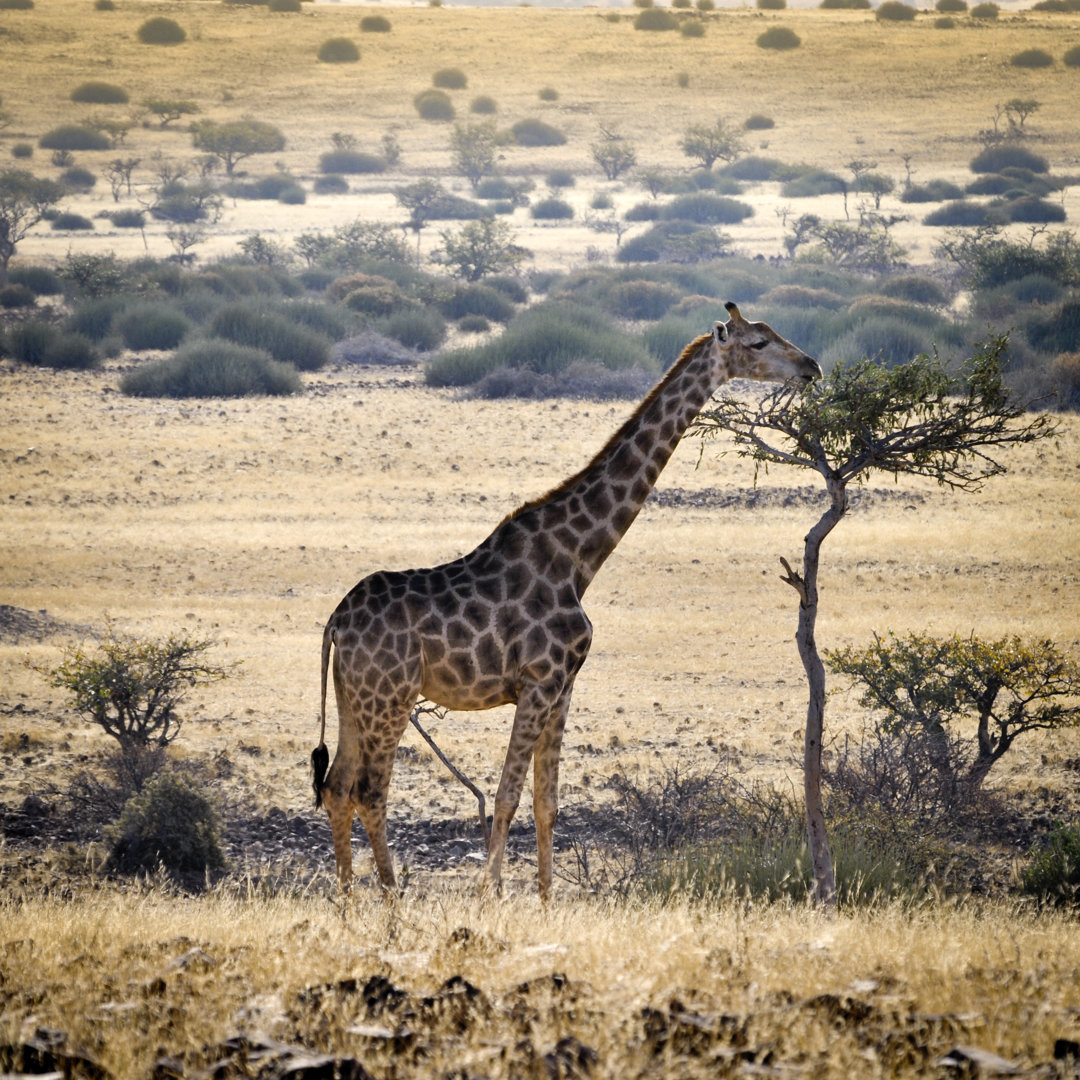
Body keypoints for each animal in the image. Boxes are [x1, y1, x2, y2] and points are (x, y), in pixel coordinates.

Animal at [313, 300, 816, 898]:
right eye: (758, 342)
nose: (811, 366)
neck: (578, 559)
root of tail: (337, 622)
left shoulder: (564, 687)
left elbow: (546, 802)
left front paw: (546, 902)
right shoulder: (538, 682)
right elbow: (507, 796)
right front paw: (490, 897)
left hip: (354, 697)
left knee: (337, 787)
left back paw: (348, 902)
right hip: (390, 697)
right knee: (369, 791)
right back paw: (391, 902)